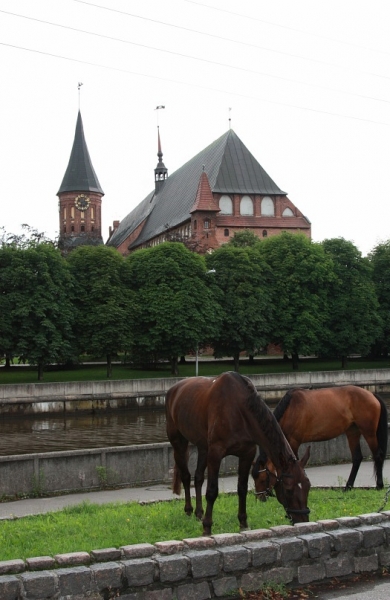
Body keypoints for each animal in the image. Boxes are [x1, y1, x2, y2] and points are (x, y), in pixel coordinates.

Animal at [165, 372, 310, 536]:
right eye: (288, 490)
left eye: (308, 486)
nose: (304, 521)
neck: (239, 410)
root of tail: (174, 389)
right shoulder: (215, 453)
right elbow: (212, 491)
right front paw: (207, 527)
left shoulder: (247, 454)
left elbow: (242, 488)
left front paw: (243, 523)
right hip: (178, 441)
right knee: (185, 476)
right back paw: (189, 510)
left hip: (203, 446)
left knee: (198, 478)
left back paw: (199, 513)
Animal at [253, 384, 386, 496]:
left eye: (263, 478)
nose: (260, 497)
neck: (291, 410)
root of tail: (371, 394)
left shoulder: (294, 442)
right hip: (353, 431)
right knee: (357, 458)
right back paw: (348, 487)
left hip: (369, 433)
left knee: (378, 455)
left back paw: (379, 485)